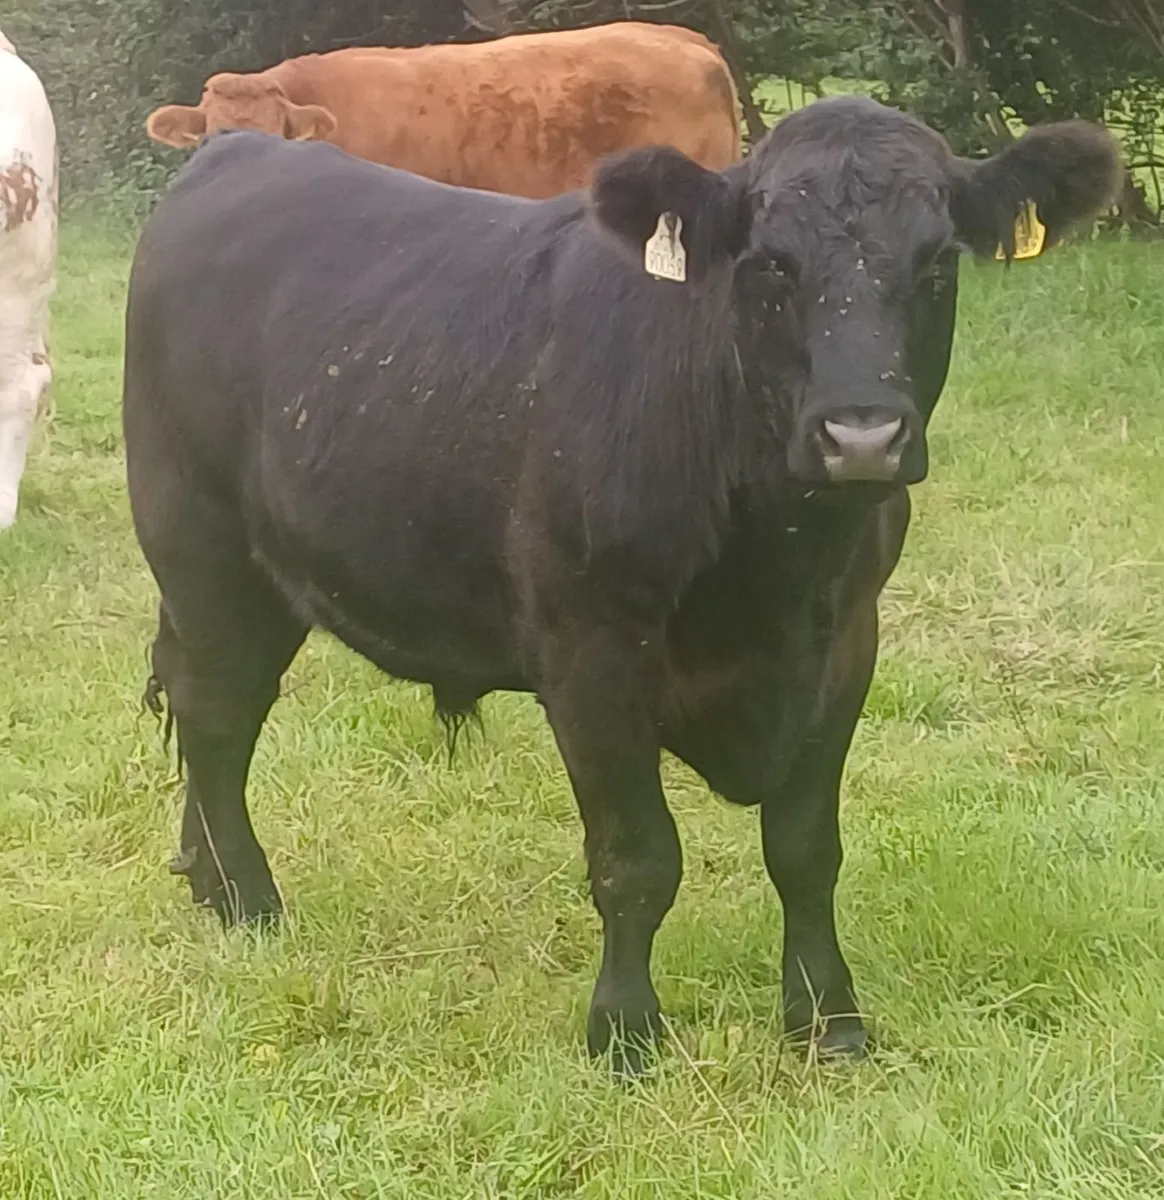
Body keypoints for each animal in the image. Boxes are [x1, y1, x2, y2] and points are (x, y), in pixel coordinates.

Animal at [123, 96, 1120, 1076]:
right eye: (769, 264)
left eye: (938, 263)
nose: (862, 436)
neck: (775, 558)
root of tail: (238, 150)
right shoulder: (589, 653)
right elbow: (638, 858)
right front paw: (626, 1030)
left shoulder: (845, 645)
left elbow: (805, 849)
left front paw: (828, 1022)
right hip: (200, 545)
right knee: (217, 716)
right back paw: (248, 898)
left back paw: (202, 874)